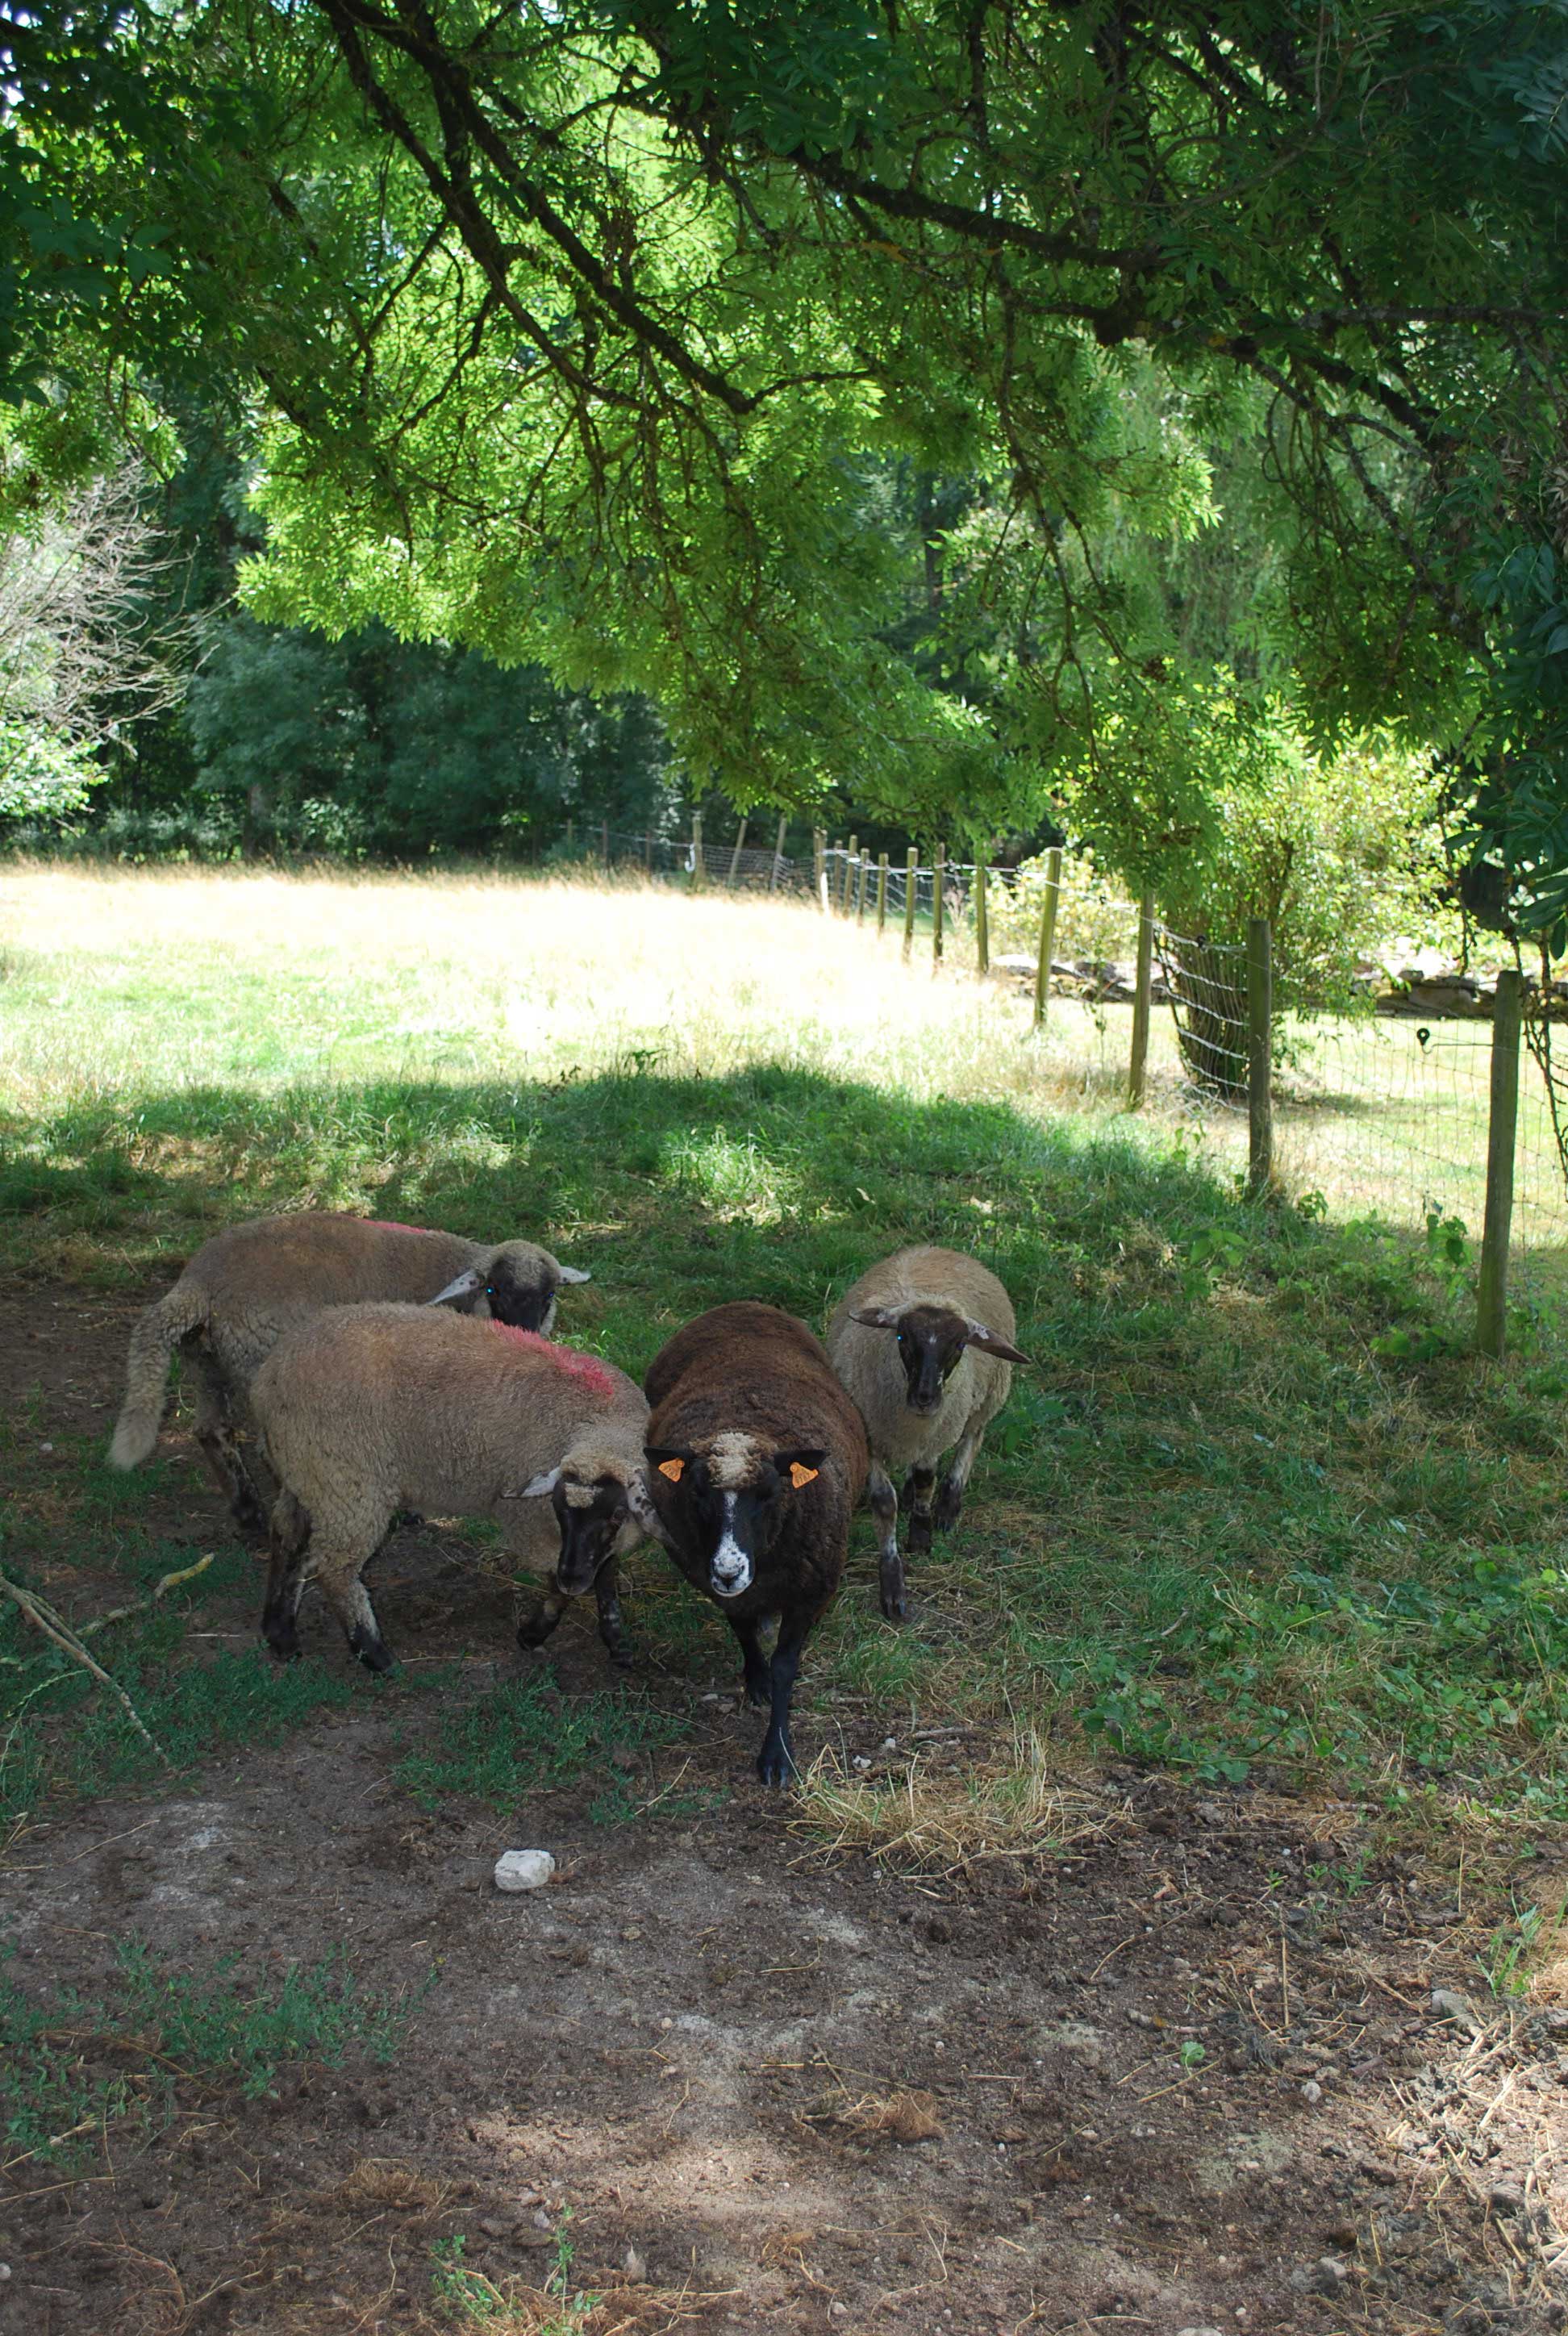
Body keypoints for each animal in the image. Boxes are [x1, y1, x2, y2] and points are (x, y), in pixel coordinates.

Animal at [107, 1205, 590, 1532]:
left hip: (206, 1363)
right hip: (261, 1363)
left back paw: (248, 1514)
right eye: (493, 1289)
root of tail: (198, 1281)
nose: (524, 1334)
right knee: (264, 1446)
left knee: (212, 1431)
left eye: (549, 1295)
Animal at [246, 1308, 649, 1672]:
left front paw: (617, 1642)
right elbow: (557, 1584)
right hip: (346, 1482)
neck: (599, 1423)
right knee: (335, 1571)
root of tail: (267, 1378)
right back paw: (376, 1655)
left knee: (287, 1537)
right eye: (559, 1509)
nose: (573, 1580)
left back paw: (281, 1634)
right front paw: (534, 1632)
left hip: (306, 1472)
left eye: (617, 1514)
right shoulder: (533, 1526)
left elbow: (606, 1573)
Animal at [822, 1242, 1028, 1625]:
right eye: (902, 1337)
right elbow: (885, 1503)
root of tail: (935, 1248)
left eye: (960, 1345)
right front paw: (893, 1583)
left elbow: (926, 1480)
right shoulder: (870, 1435)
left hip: (986, 1400)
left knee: (971, 1441)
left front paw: (921, 1534)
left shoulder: (936, 1432)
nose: (925, 1398)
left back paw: (948, 1504)